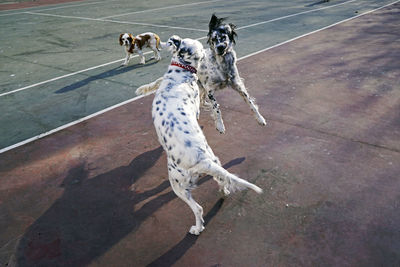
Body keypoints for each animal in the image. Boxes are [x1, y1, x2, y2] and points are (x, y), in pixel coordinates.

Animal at [136, 14, 268, 133]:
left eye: (223, 37)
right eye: (214, 39)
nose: (220, 47)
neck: (222, 65)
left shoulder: (238, 85)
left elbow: (250, 103)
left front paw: (260, 118)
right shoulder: (210, 90)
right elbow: (217, 108)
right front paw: (220, 125)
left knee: (202, 100)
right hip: (201, 87)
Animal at [152, 37, 262, 234]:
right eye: (201, 49)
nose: (213, 49)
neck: (182, 75)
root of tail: (203, 160)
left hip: (178, 185)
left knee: (198, 209)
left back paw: (197, 228)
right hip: (215, 164)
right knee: (223, 181)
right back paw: (223, 193)